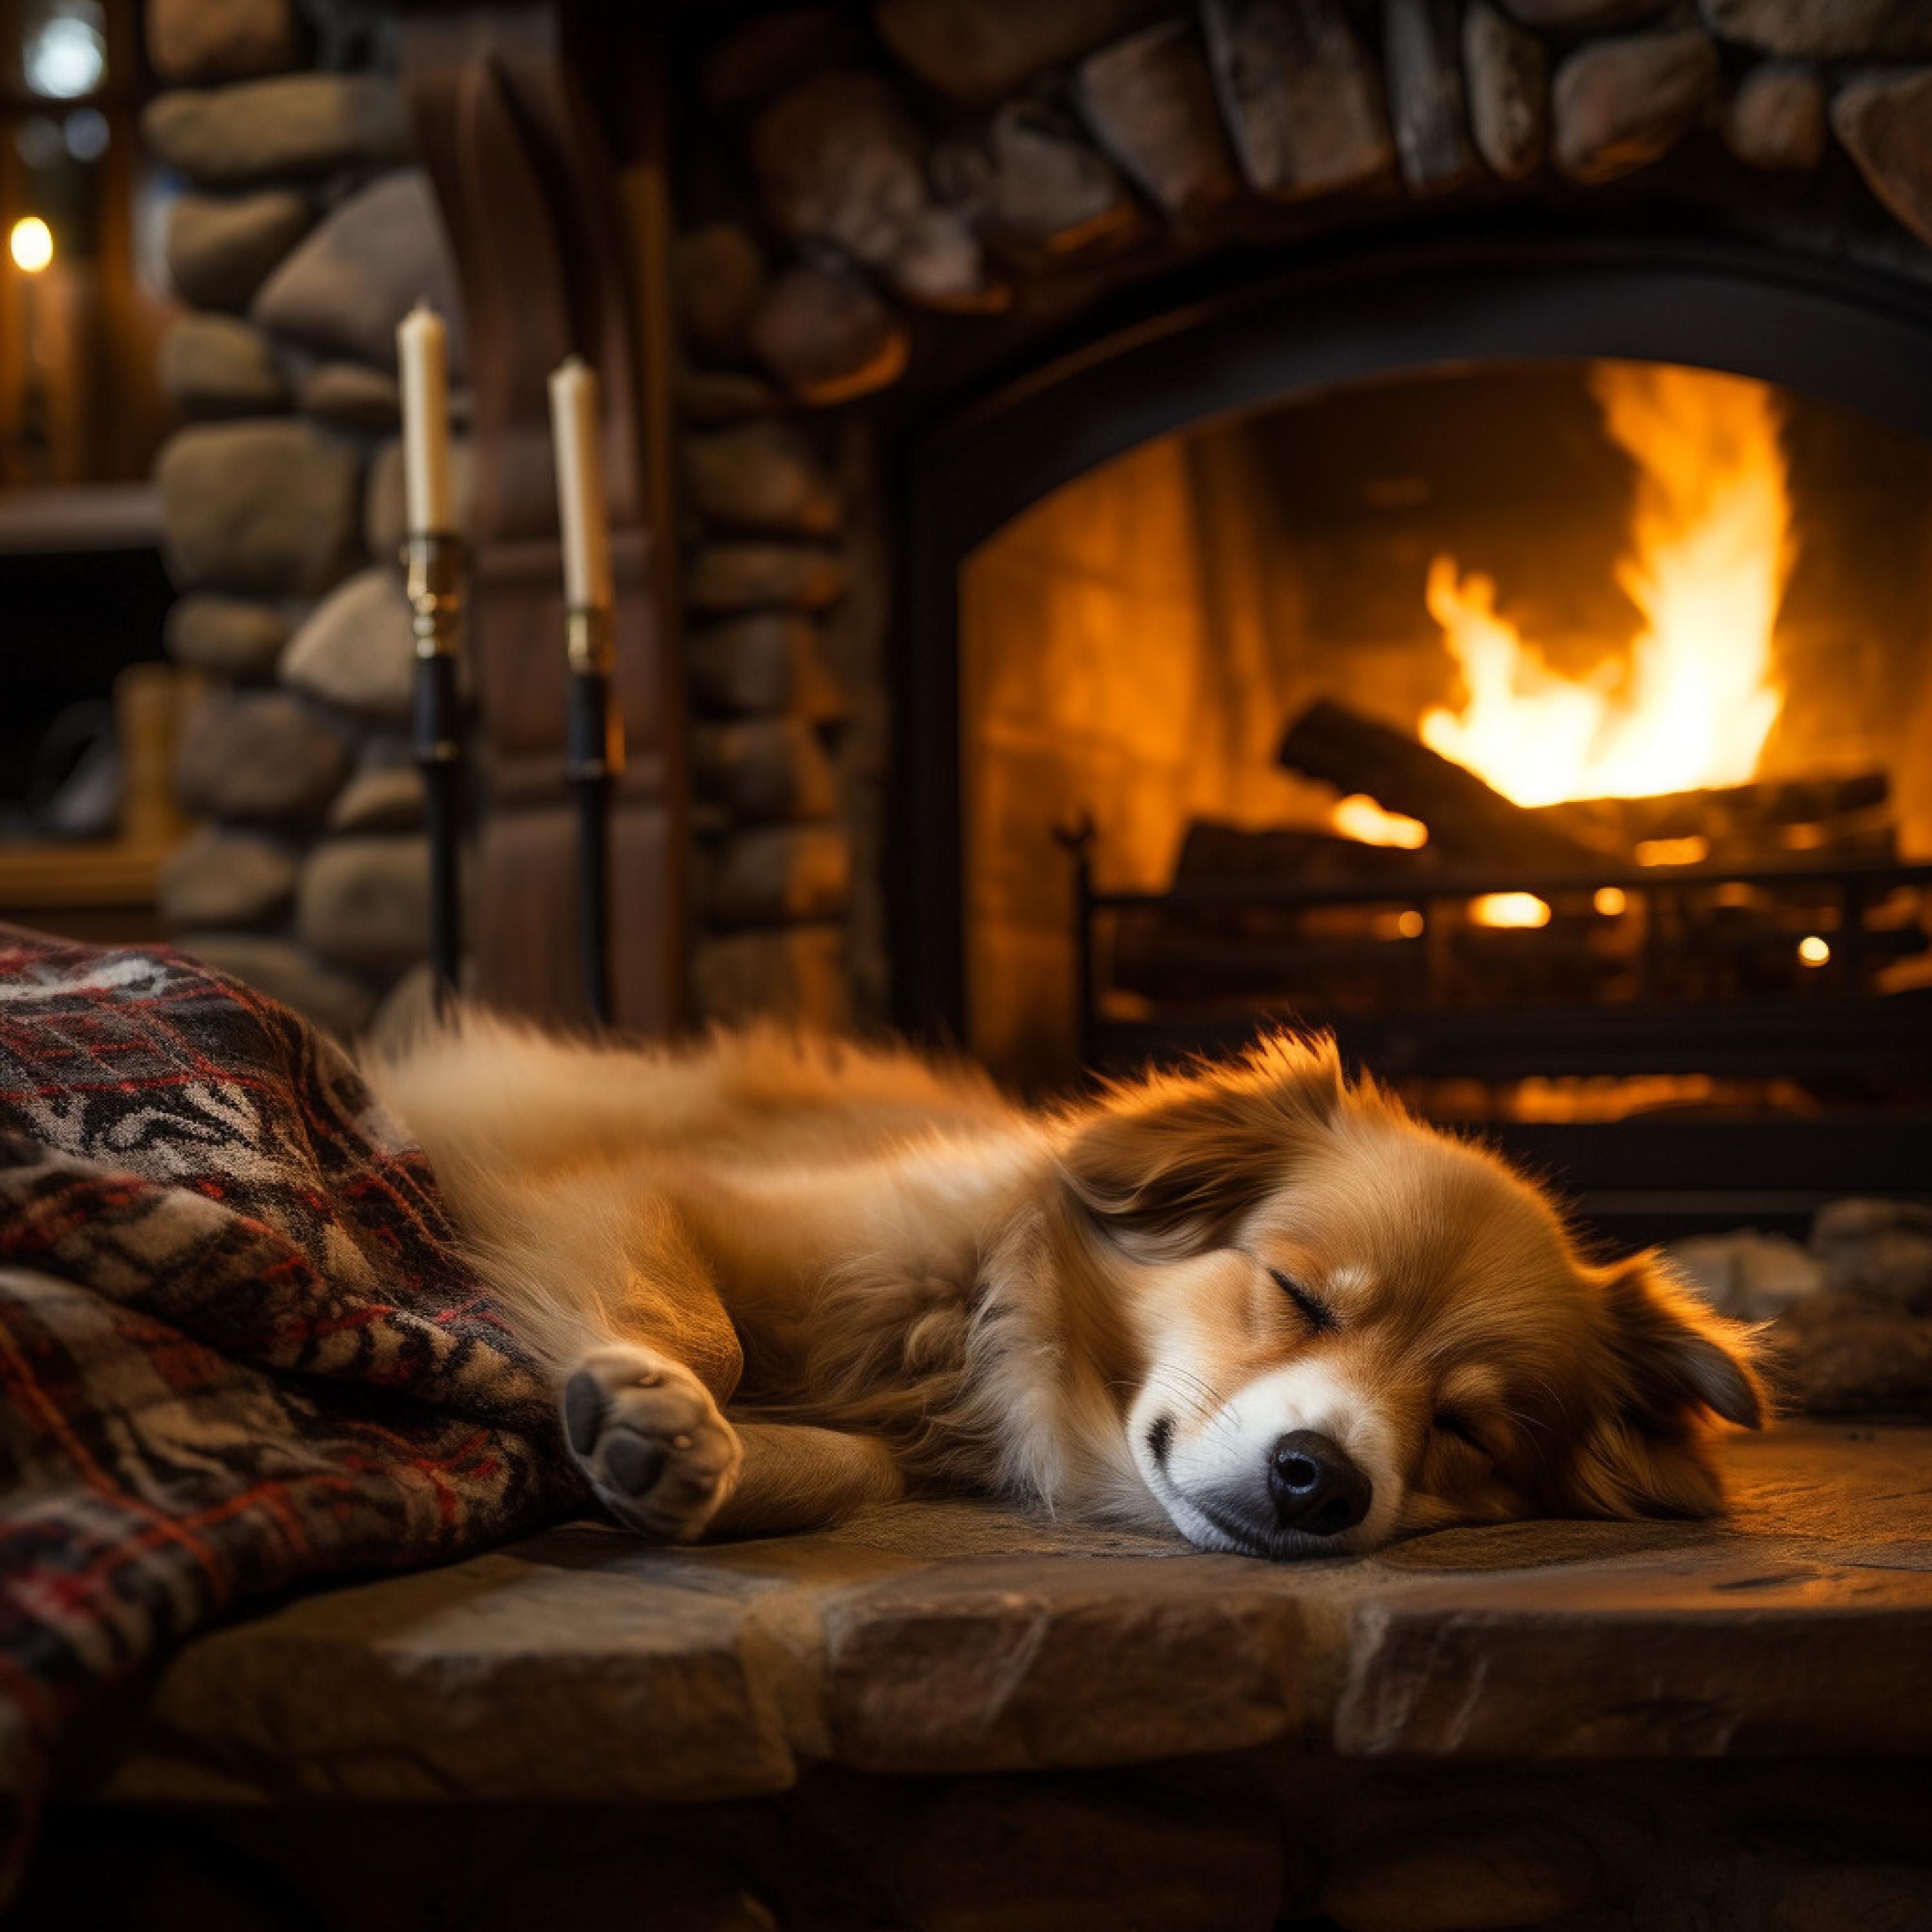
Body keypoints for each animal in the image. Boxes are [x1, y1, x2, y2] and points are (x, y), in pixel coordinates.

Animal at [363, 1028, 1770, 1553]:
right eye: (1298, 1294)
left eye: (1469, 1429)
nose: (1319, 1481)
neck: (982, 1342)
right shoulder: (620, 1180)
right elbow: (701, 1330)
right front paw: (650, 1410)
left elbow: (852, 1468)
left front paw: (691, 1467)